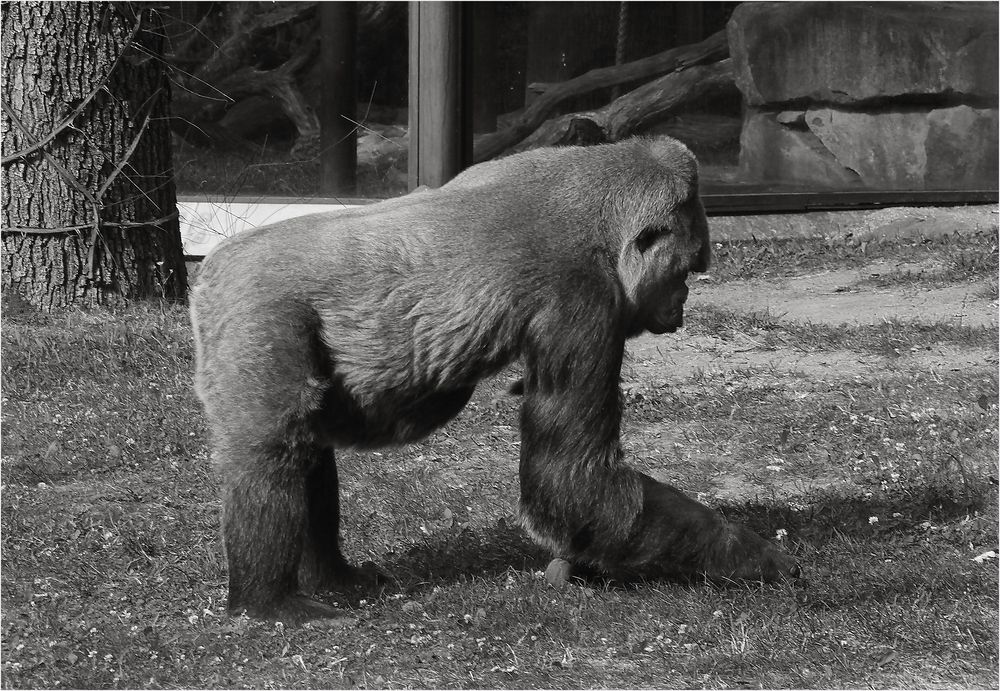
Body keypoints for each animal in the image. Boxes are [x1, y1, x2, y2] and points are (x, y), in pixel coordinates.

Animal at [188, 138, 800, 624]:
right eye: (686, 268)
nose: (683, 304)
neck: (595, 208)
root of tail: (212, 268)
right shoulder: (583, 299)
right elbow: (570, 480)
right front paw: (746, 556)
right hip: (254, 309)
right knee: (273, 450)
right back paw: (268, 601)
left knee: (307, 440)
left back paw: (333, 577)